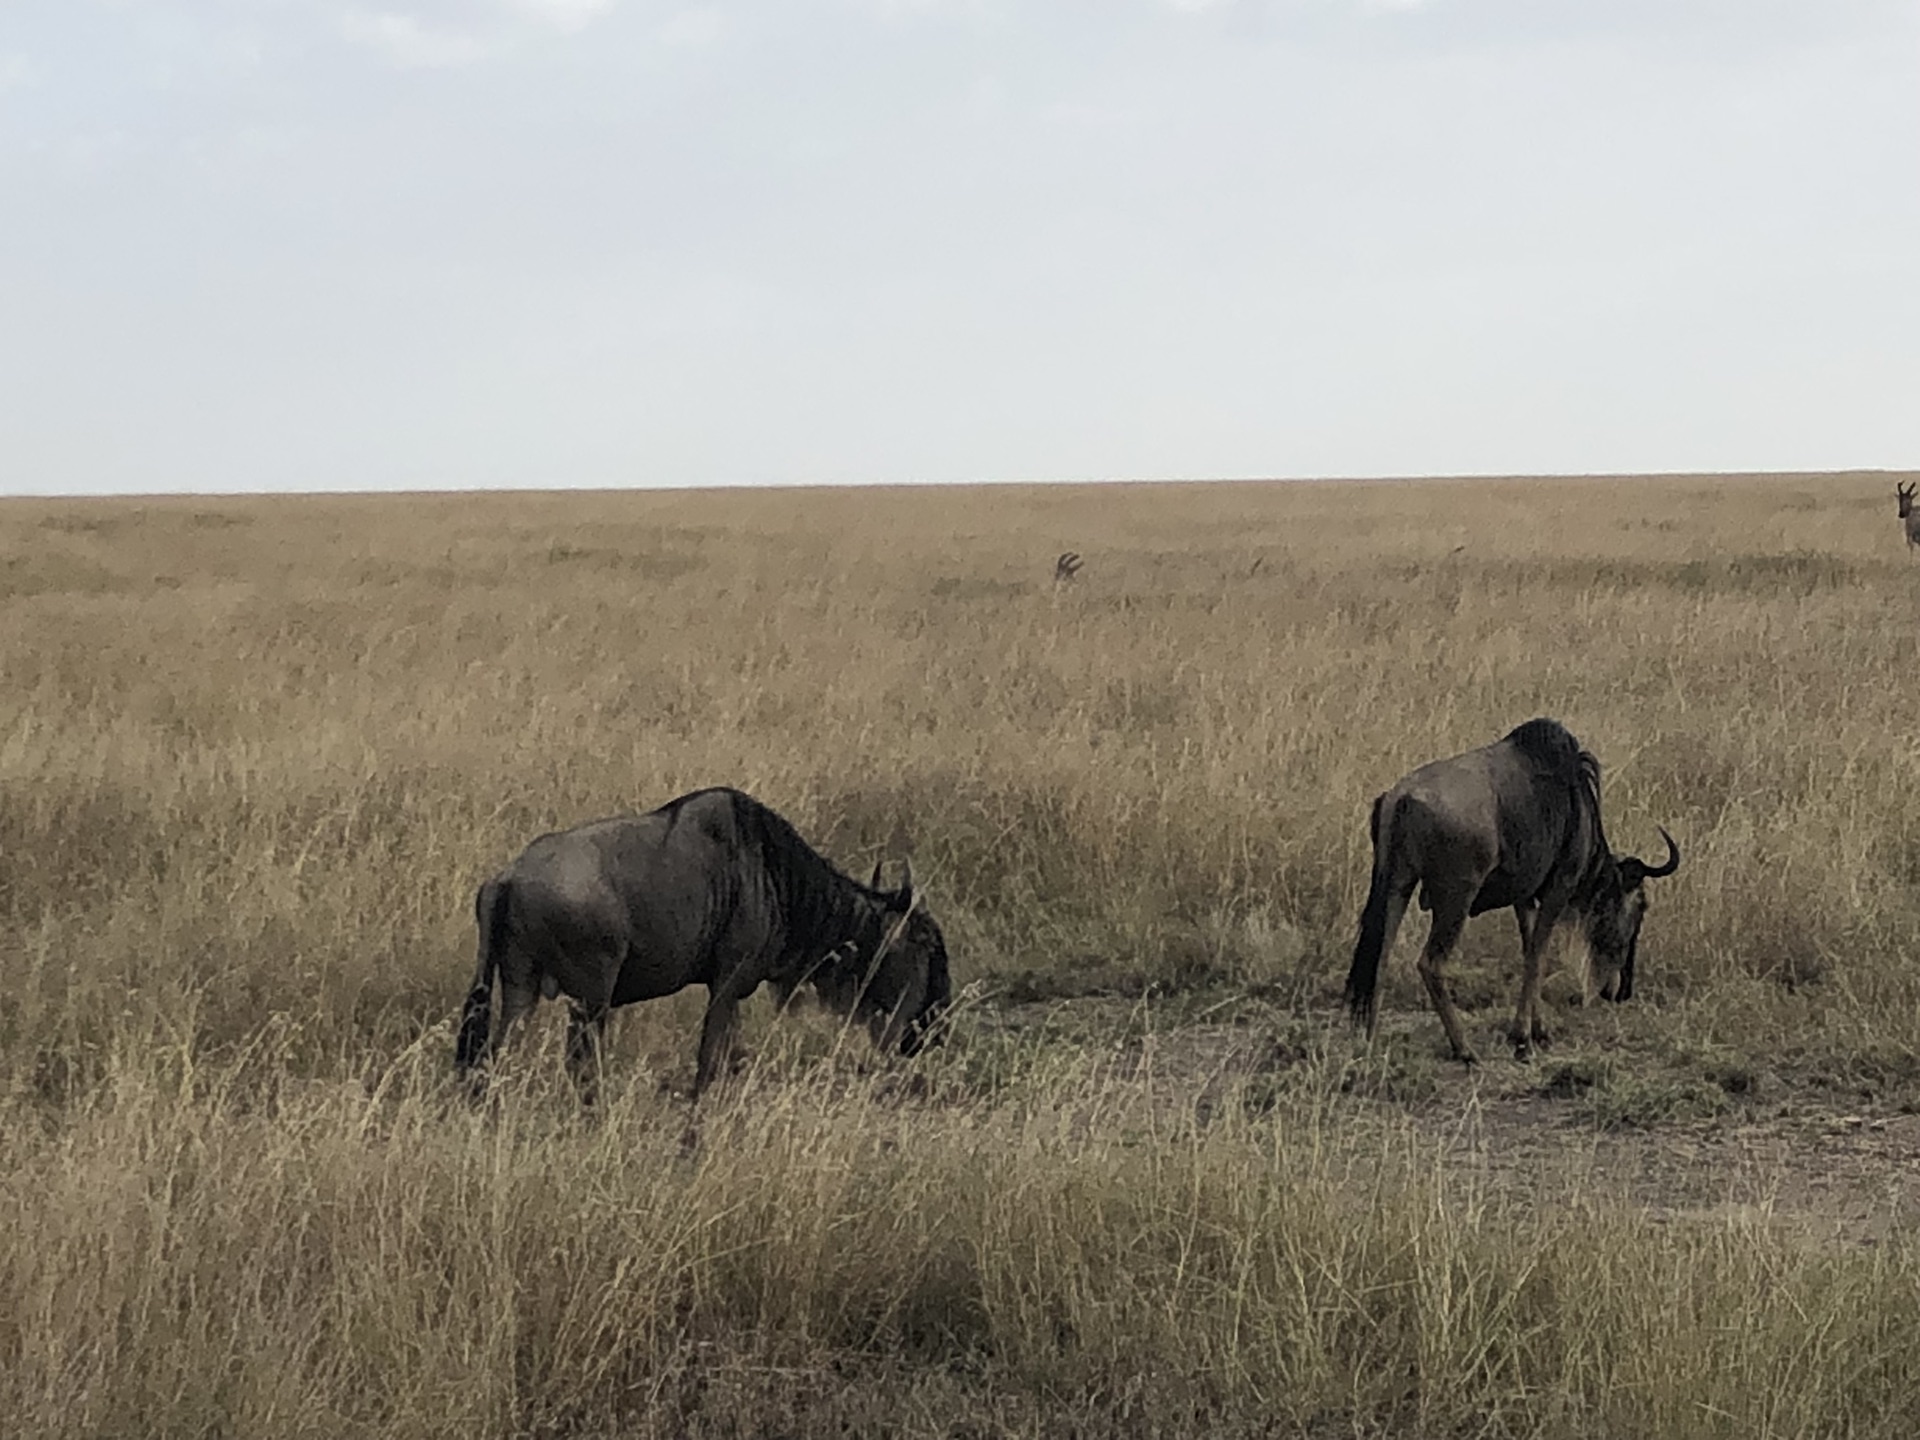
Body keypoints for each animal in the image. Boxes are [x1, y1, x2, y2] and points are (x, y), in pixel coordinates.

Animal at [456, 791, 952, 1105]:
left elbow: (731, 1061)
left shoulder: (733, 992)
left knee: (496, 1055)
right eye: (927, 943)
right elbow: (709, 1064)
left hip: (521, 990)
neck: (776, 878)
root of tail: (508, 876)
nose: (937, 1027)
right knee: (580, 1067)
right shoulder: (726, 984)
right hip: (591, 1000)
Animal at [1351, 721, 1681, 1075]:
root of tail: (1400, 797)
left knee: (1380, 959)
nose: (1623, 991)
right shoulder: (1557, 890)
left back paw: (1369, 1041)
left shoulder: (1523, 898)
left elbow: (1528, 951)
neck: (1577, 809)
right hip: (1456, 900)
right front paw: (1522, 1039)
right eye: (1641, 907)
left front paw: (1539, 1031)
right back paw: (1464, 1050)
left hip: (1398, 887)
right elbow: (1537, 957)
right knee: (1431, 964)